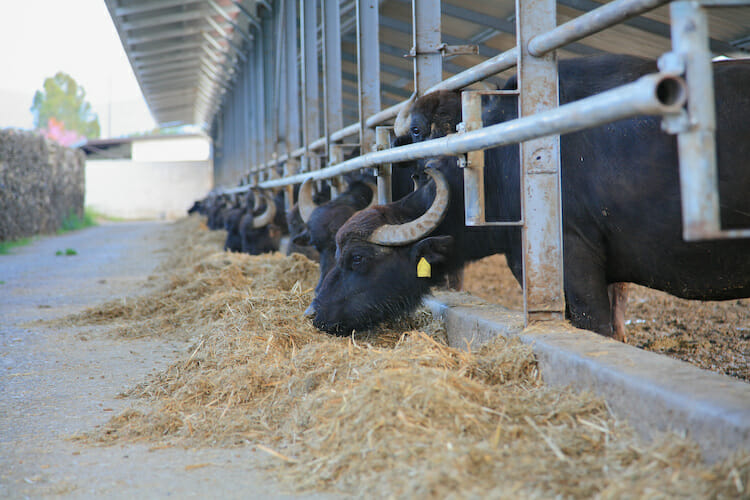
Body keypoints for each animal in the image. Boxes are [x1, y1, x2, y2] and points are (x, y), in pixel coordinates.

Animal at [310, 52, 750, 338]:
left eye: (357, 258)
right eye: (416, 131)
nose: (312, 310)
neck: (501, 165)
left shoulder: (574, 263)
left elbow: (599, 327)